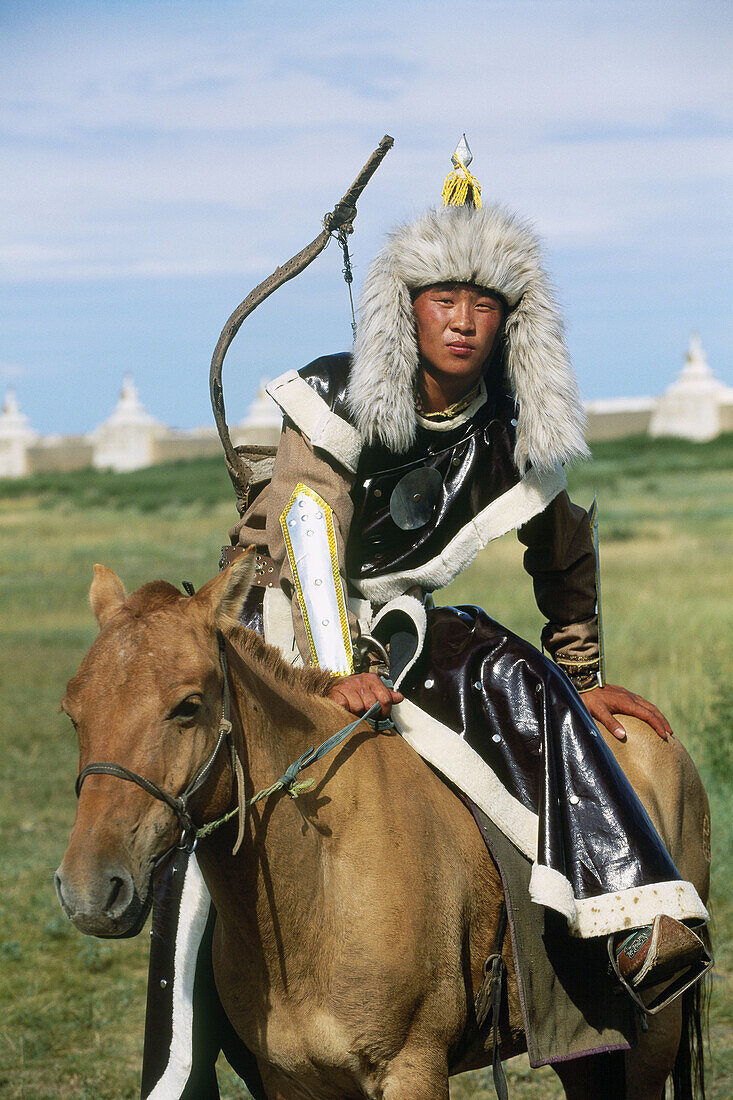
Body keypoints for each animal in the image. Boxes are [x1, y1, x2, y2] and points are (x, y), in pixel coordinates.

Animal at [55, 558, 708, 1100]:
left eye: (188, 706)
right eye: (73, 712)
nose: (90, 890)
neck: (319, 882)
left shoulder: (410, 1070)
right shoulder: (294, 1083)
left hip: (654, 1035)